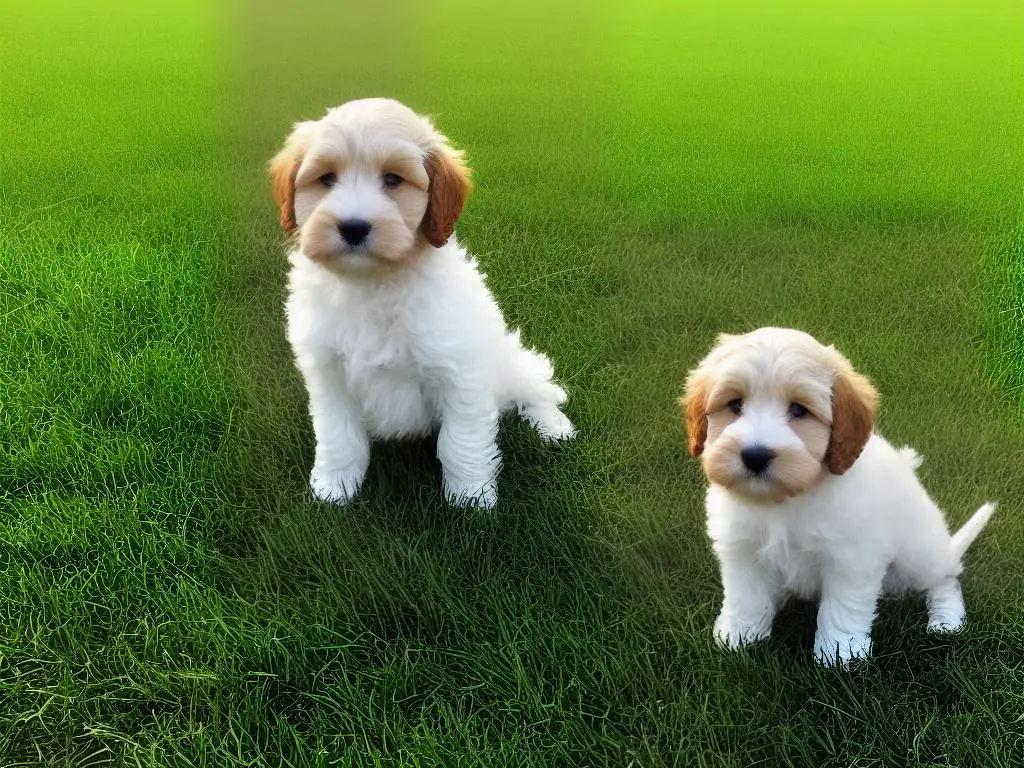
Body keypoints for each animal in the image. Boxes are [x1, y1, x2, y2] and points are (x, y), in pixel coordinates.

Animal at [268, 99, 577, 514]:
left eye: (393, 180)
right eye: (327, 178)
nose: (353, 227)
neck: (372, 283)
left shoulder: (460, 374)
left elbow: (460, 443)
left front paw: (470, 499)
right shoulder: (329, 376)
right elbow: (340, 439)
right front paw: (334, 488)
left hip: (508, 360)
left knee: (535, 387)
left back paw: (554, 426)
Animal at [675, 327, 995, 671]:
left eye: (799, 410)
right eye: (735, 405)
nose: (755, 456)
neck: (785, 500)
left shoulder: (851, 558)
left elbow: (842, 607)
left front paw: (840, 655)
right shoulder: (743, 550)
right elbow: (746, 597)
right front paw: (739, 637)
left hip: (917, 555)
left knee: (946, 578)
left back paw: (946, 619)